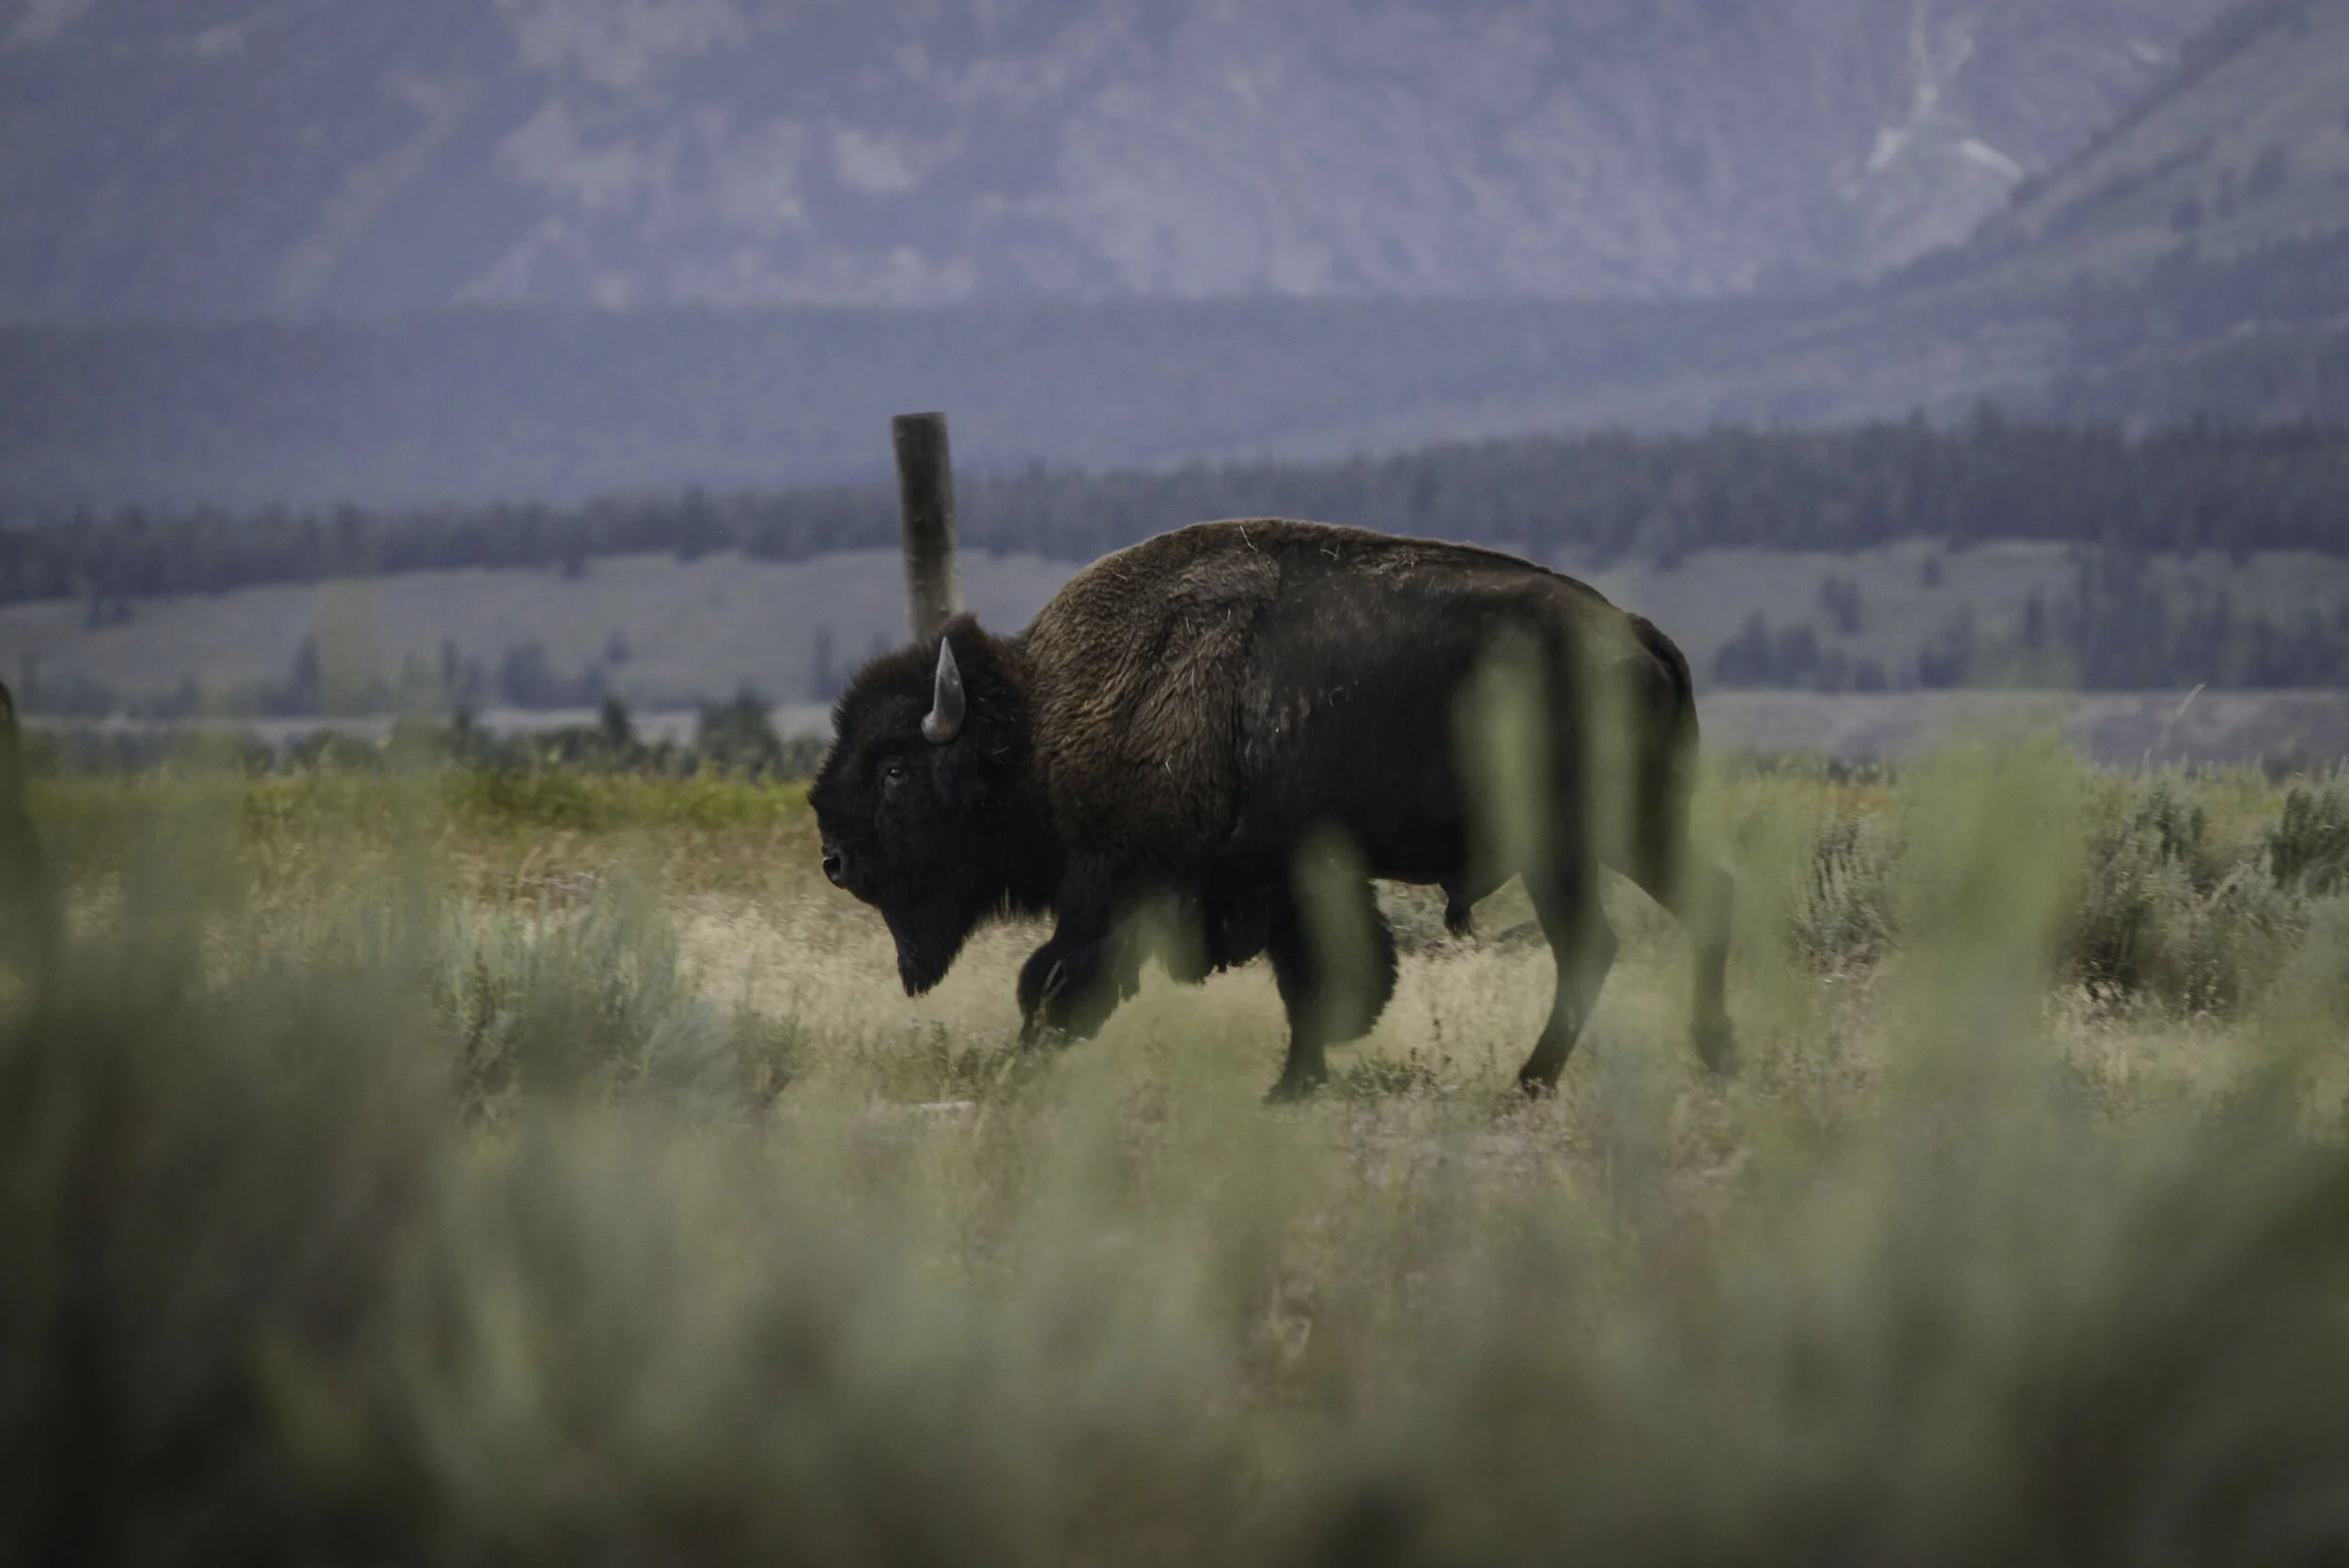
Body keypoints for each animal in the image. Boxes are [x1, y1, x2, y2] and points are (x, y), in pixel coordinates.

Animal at [811, 518, 1733, 1098]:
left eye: (893, 770)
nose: (835, 858)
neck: (1039, 718)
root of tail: (1637, 634)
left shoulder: (1115, 882)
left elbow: (1050, 979)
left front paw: (1028, 1064)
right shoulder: (1285, 882)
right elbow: (1317, 984)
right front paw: (1296, 1083)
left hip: (1574, 841)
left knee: (1598, 941)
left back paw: (1536, 1081)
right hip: (1623, 834)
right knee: (1683, 911)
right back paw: (1705, 1056)